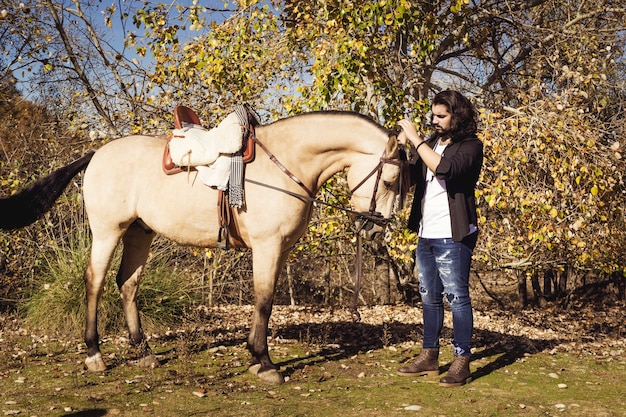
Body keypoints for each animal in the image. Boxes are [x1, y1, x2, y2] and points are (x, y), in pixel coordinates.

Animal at [7, 110, 402, 384]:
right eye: (392, 179)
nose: (375, 229)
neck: (287, 164)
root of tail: (96, 153)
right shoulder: (268, 247)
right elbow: (264, 300)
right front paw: (264, 362)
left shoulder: (281, 250)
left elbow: (265, 300)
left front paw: (255, 358)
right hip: (108, 232)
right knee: (95, 282)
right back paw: (94, 354)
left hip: (139, 233)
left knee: (127, 284)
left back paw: (144, 351)